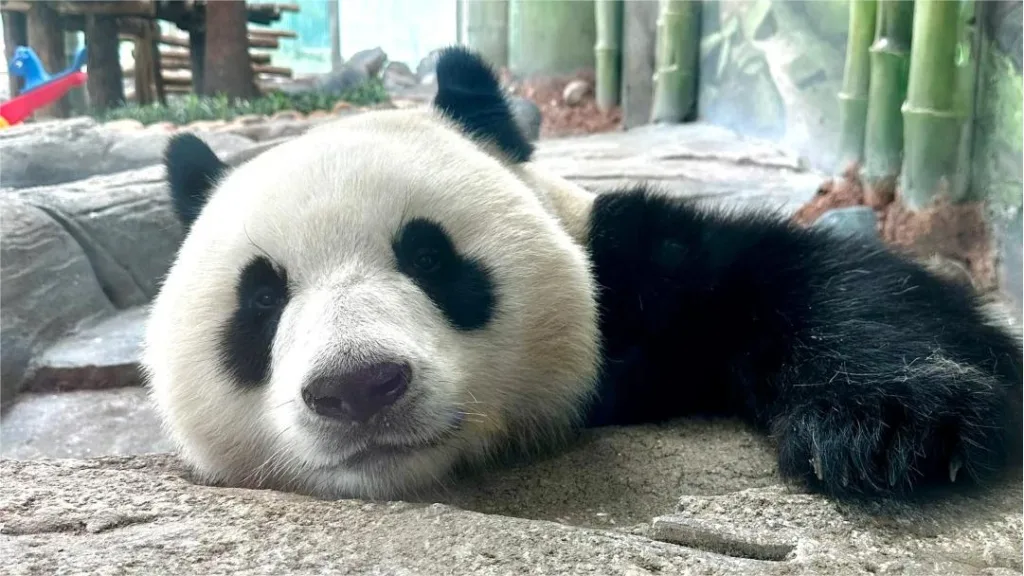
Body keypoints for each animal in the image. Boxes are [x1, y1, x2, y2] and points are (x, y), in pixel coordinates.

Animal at [143, 46, 1022, 503]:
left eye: (429, 256)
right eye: (261, 299)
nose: (359, 386)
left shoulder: (636, 269)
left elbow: (807, 273)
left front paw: (889, 426)